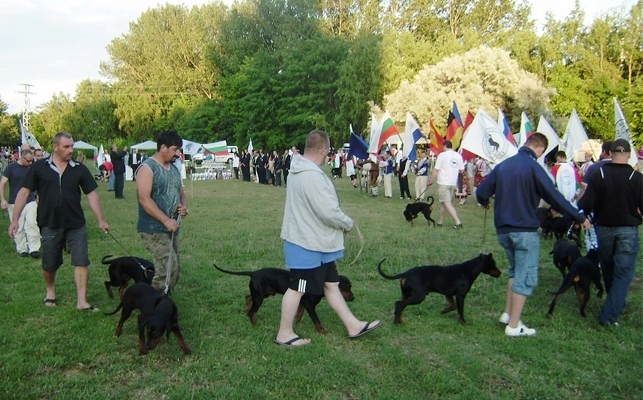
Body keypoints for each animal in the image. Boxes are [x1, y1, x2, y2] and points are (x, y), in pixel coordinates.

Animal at [216, 262, 358, 334]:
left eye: (350, 287)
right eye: (345, 288)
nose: (353, 298)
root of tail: (253, 273)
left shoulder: (302, 304)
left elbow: (299, 315)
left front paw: (297, 325)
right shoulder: (310, 306)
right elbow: (317, 320)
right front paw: (323, 331)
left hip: (263, 293)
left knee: (248, 297)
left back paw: (247, 309)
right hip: (260, 297)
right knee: (252, 311)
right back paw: (255, 324)